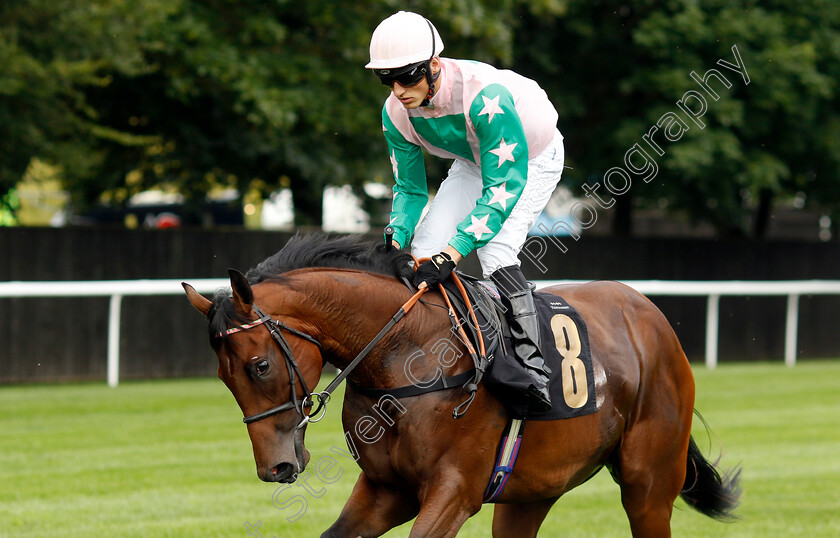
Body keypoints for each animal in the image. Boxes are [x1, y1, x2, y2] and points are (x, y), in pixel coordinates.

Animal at [182, 233, 736, 536]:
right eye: (222, 376)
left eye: (259, 366)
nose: (275, 467)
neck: (405, 355)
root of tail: (649, 313)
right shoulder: (385, 490)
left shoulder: (454, 491)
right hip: (531, 491)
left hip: (648, 484)